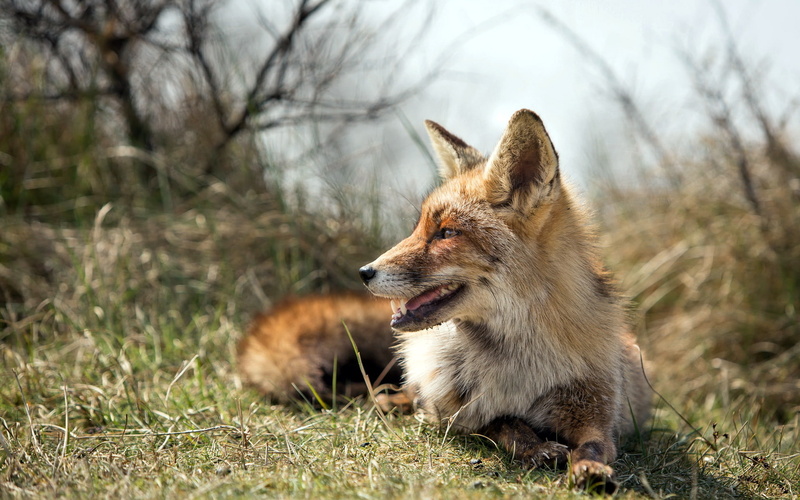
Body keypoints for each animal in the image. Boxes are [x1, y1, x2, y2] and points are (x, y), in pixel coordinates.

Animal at [238, 109, 650, 493]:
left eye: (447, 233)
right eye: (419, 227)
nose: (364, 271)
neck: (519, 361)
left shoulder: (598, 409)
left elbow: (595, 445)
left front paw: (590, 469)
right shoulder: (454, 412)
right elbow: (504, 423)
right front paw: (537, 446)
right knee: (394, 391)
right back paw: (387, 401)